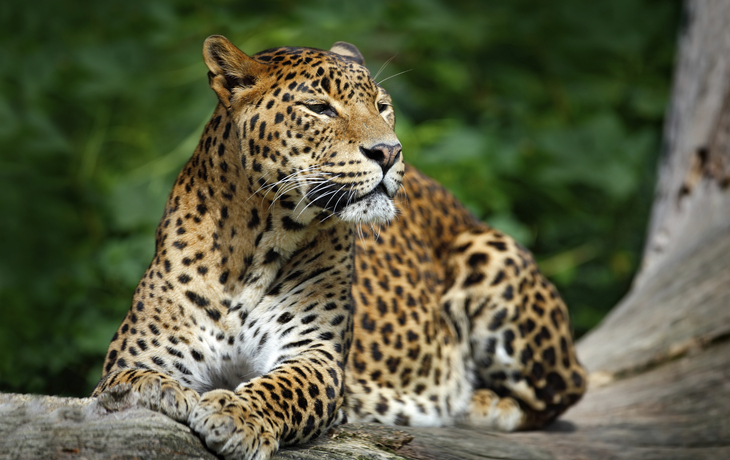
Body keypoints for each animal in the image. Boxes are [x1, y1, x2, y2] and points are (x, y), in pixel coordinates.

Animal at [93, 35, 587, 460]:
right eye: (319, 108)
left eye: (383, 107)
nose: (389, 151)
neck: (254, 243)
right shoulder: (142, 350)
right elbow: (128, 378)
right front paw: (154, 391)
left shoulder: (315, 354)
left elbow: (281, 388)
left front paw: (236, 415)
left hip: (490, 251)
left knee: (567, 388)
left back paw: (481, 403)